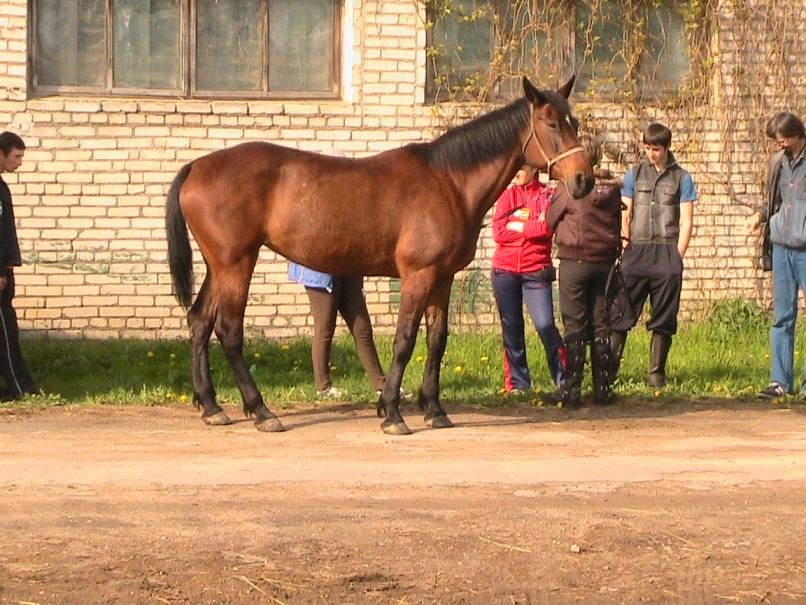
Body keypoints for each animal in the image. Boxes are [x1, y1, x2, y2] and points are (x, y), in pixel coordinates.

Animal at [166, 75, 593, 435]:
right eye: (552, 124)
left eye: (574, 122)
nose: (584, 179)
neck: (449, 182)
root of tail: (197, 166)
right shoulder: (418, 275)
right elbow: (405, 340)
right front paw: (391, 412)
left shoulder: (443, 277)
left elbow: (437, 340)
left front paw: (434, 409)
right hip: (236, 262)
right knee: (228, 331)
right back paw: (261, 411)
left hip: (218, 265)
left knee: (199, 321)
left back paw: (211, 406)